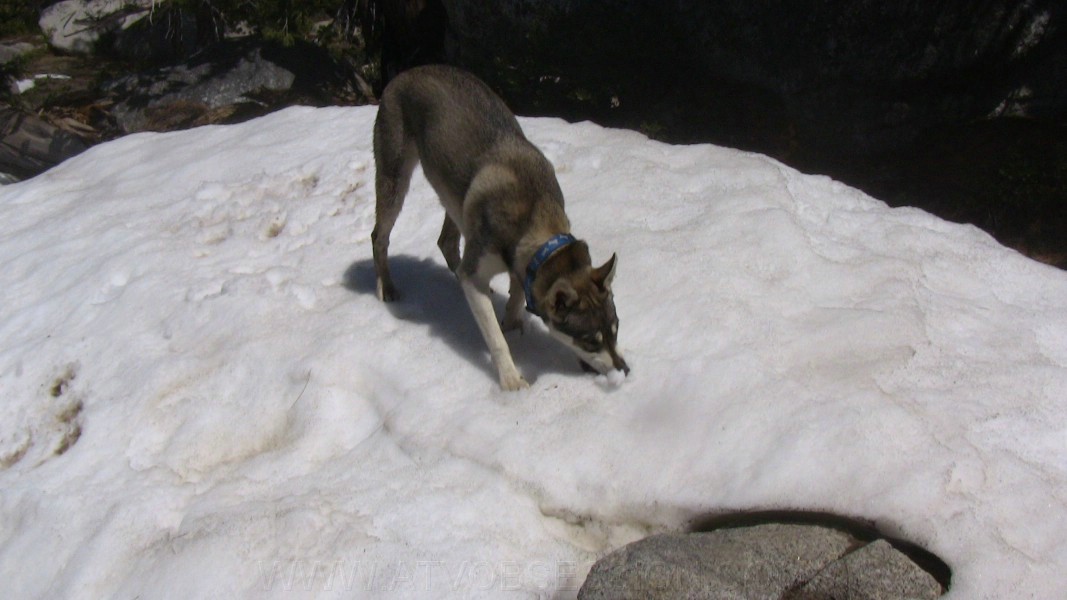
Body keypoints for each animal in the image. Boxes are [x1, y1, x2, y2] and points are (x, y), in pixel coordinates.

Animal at [371, 64, 627, 388]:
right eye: (590, 341)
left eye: (615, 329)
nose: (625, 370)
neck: (534, 216)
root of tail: (408, 71)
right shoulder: (481, 264)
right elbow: (495, 338)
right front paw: (511, 380)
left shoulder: (521, 263)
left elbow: (516, 293)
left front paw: (513, 322)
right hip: (394, 177)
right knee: (379, 236)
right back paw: (387, 286)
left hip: (456, 200)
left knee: (446, 240)